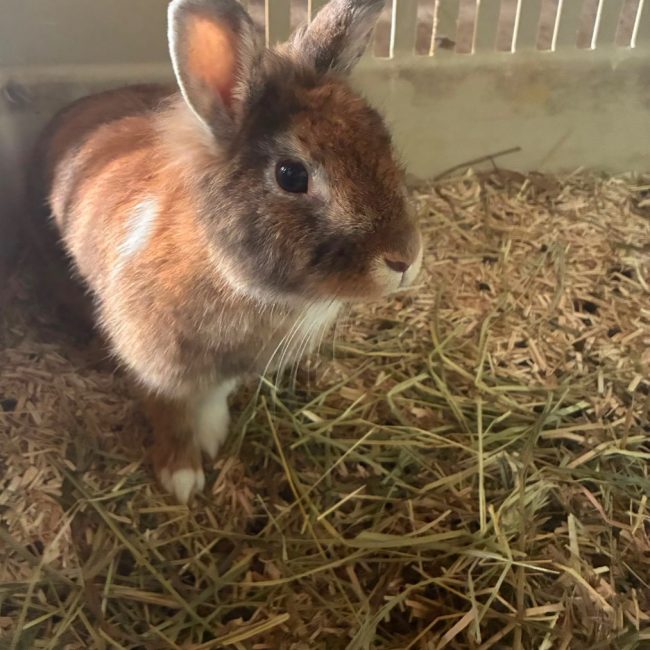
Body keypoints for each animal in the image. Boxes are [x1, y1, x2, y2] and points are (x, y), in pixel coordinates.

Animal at [33, 0, 423, 504]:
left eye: (382, 139)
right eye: (291, 175)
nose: (405, 259)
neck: (238, 282)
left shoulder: (230, 371)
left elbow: (215, 398)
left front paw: (214, 434)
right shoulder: (154, 368)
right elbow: (170, 417)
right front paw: (182, 478)